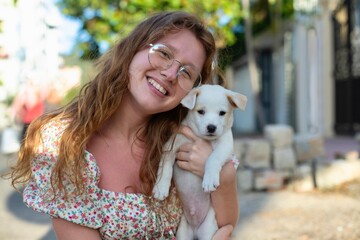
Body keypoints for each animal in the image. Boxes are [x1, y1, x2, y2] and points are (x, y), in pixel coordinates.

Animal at [152, 84, 248, 240]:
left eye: (222, 113)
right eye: (201, 111)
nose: (211, 127)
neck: (201, 138)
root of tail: (195, 229)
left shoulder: (225, 146)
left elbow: (213, 158)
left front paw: (209, 180)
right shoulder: (171, 146)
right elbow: (165, 168)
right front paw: (160, 188)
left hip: (208, 230)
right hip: (183, 233)